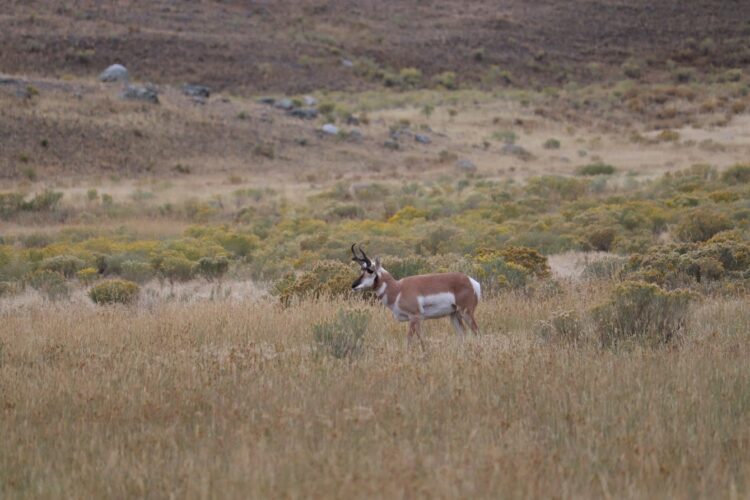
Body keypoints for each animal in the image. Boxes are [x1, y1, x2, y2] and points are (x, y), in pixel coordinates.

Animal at [352, 245, 482, 348]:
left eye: (370, 270)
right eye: (361, 269)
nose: (353, 285)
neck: (398, 289)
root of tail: (470, 281)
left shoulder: (414, 317)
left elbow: (411, 339)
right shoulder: (417, 319)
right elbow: (421, 338)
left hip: (466, 313)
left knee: (477, 331)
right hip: (454, 315)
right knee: (462, 333)